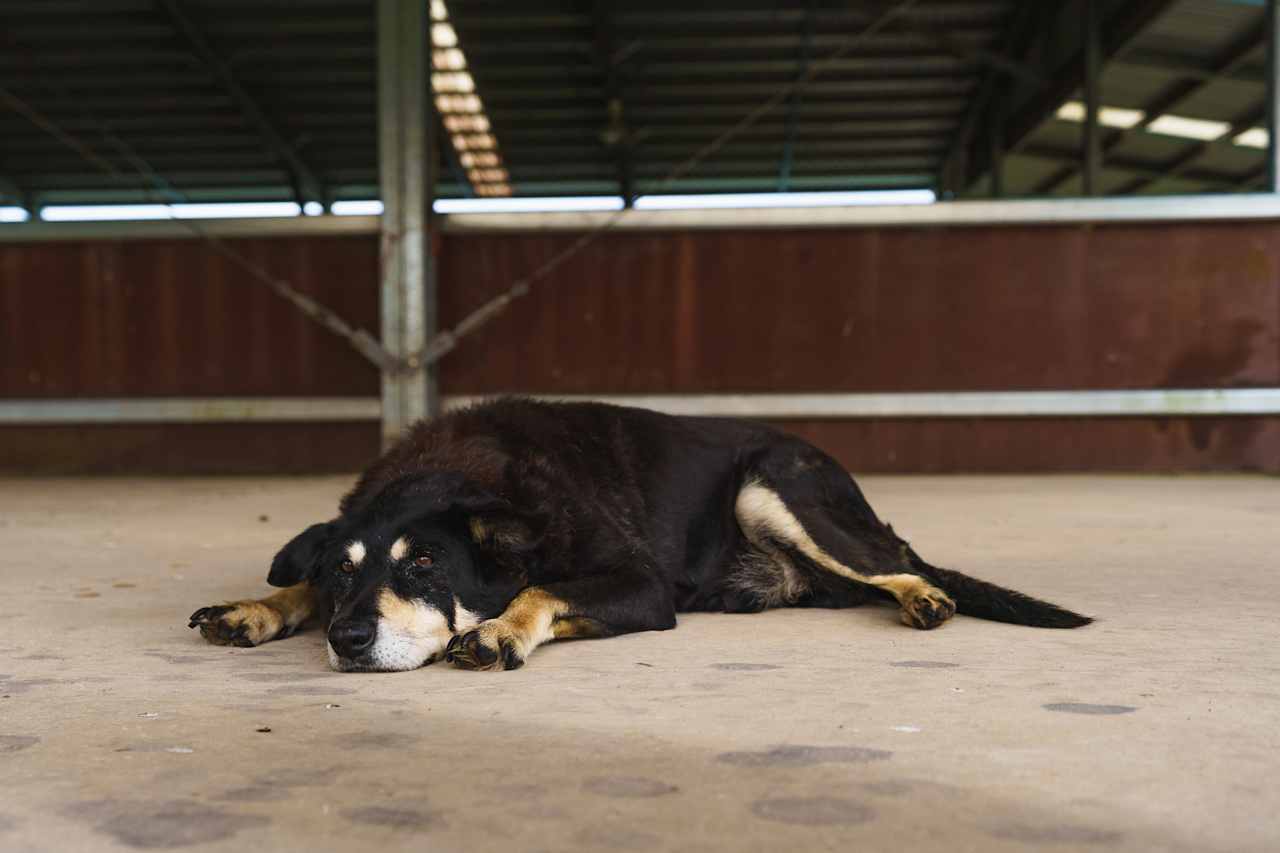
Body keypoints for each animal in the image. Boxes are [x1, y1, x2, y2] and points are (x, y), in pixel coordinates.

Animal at [186, 399, 1090, 671]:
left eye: (429, 564)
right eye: (344, 573)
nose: (347, 639)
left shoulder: (642, 586)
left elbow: (539, 586)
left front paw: (502, 629)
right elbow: (293, 584)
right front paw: (257, 606)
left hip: (774, 480)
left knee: (892, 557)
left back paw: (924, 596)